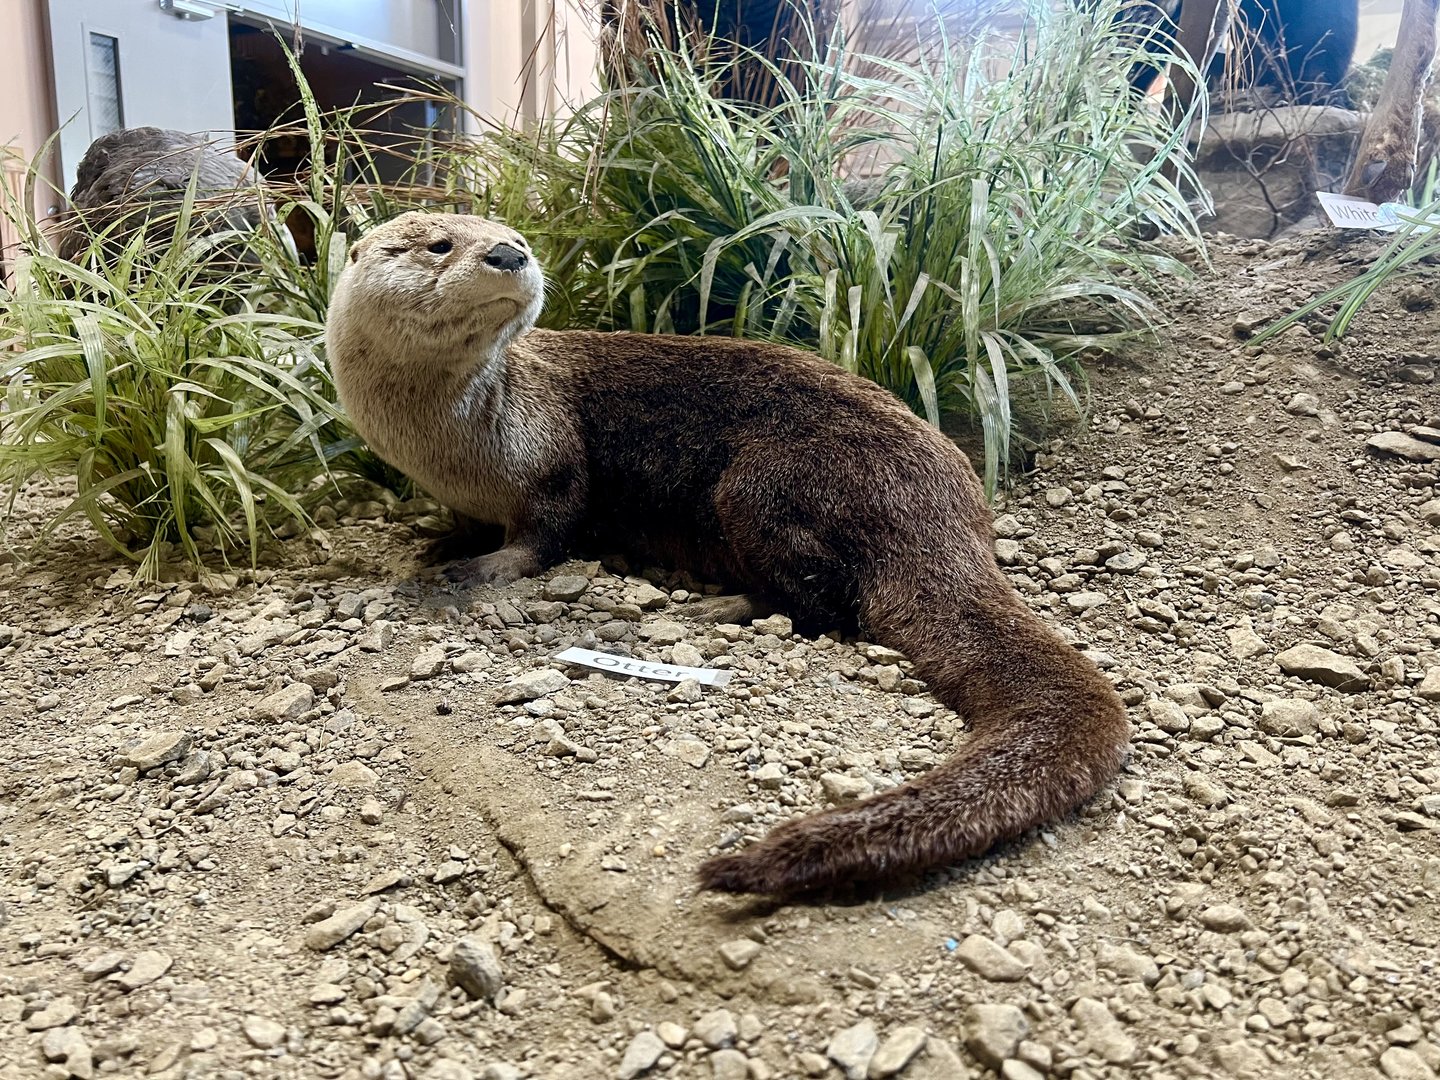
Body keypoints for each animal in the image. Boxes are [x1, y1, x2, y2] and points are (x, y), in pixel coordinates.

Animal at [326, 211, 1131, 898]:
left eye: (516, 236)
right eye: (441, 244)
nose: (507, 253)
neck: (450, 446)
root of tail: (942, 497)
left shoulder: (549, 460)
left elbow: (545, 533)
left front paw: (476, 570)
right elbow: (466, 525)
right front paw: (439, 541)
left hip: (763, 484)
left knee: (828, 605)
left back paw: (723, 608)